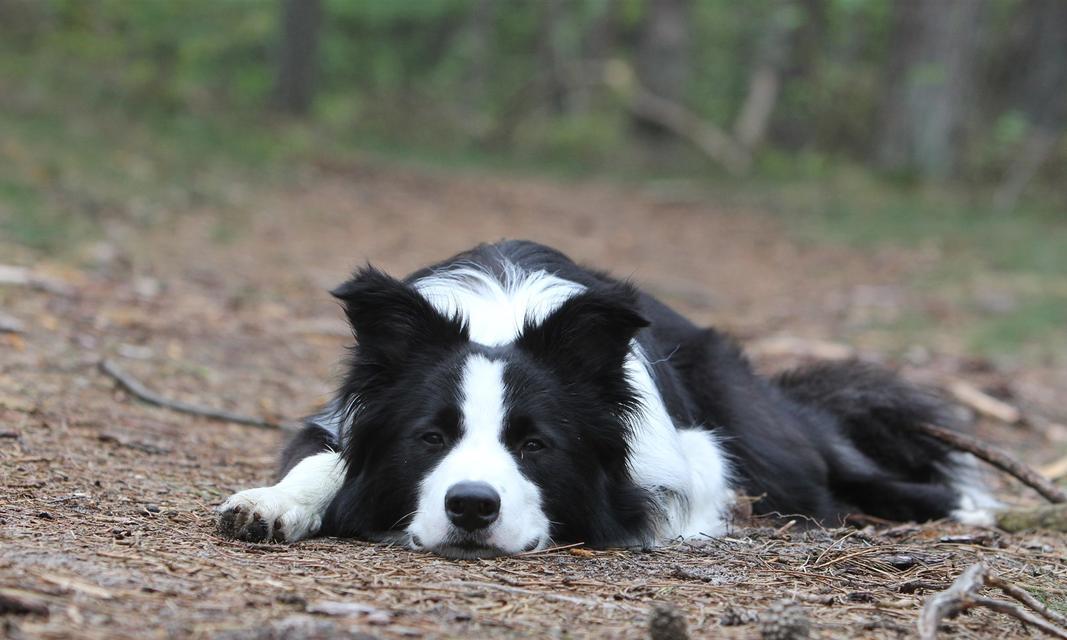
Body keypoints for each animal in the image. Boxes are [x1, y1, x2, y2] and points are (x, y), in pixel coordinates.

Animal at [212, 240, 994, 554]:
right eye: (429, 439)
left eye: (535, 445)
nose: (471, 507)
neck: (501, 318)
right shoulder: (337, 422)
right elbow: (326, 460)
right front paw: (272, 503)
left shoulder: (693, 456)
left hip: (762, 437)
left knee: (834, 472)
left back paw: (968, 507)